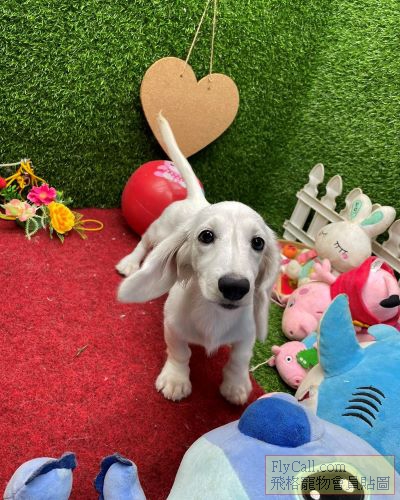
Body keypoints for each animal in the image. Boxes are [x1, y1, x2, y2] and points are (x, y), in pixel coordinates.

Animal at [117, 114, 280, 404]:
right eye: (206, 236)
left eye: (258, 242)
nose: (235, 286)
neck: (214, 315)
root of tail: (197, 198)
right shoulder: (173, 325)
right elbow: (180, 352)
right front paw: (176, 379)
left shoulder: (247, 333)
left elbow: (240, 358)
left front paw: (236, 385)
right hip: (159, 230)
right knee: (144, 242)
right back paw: (131, 262)